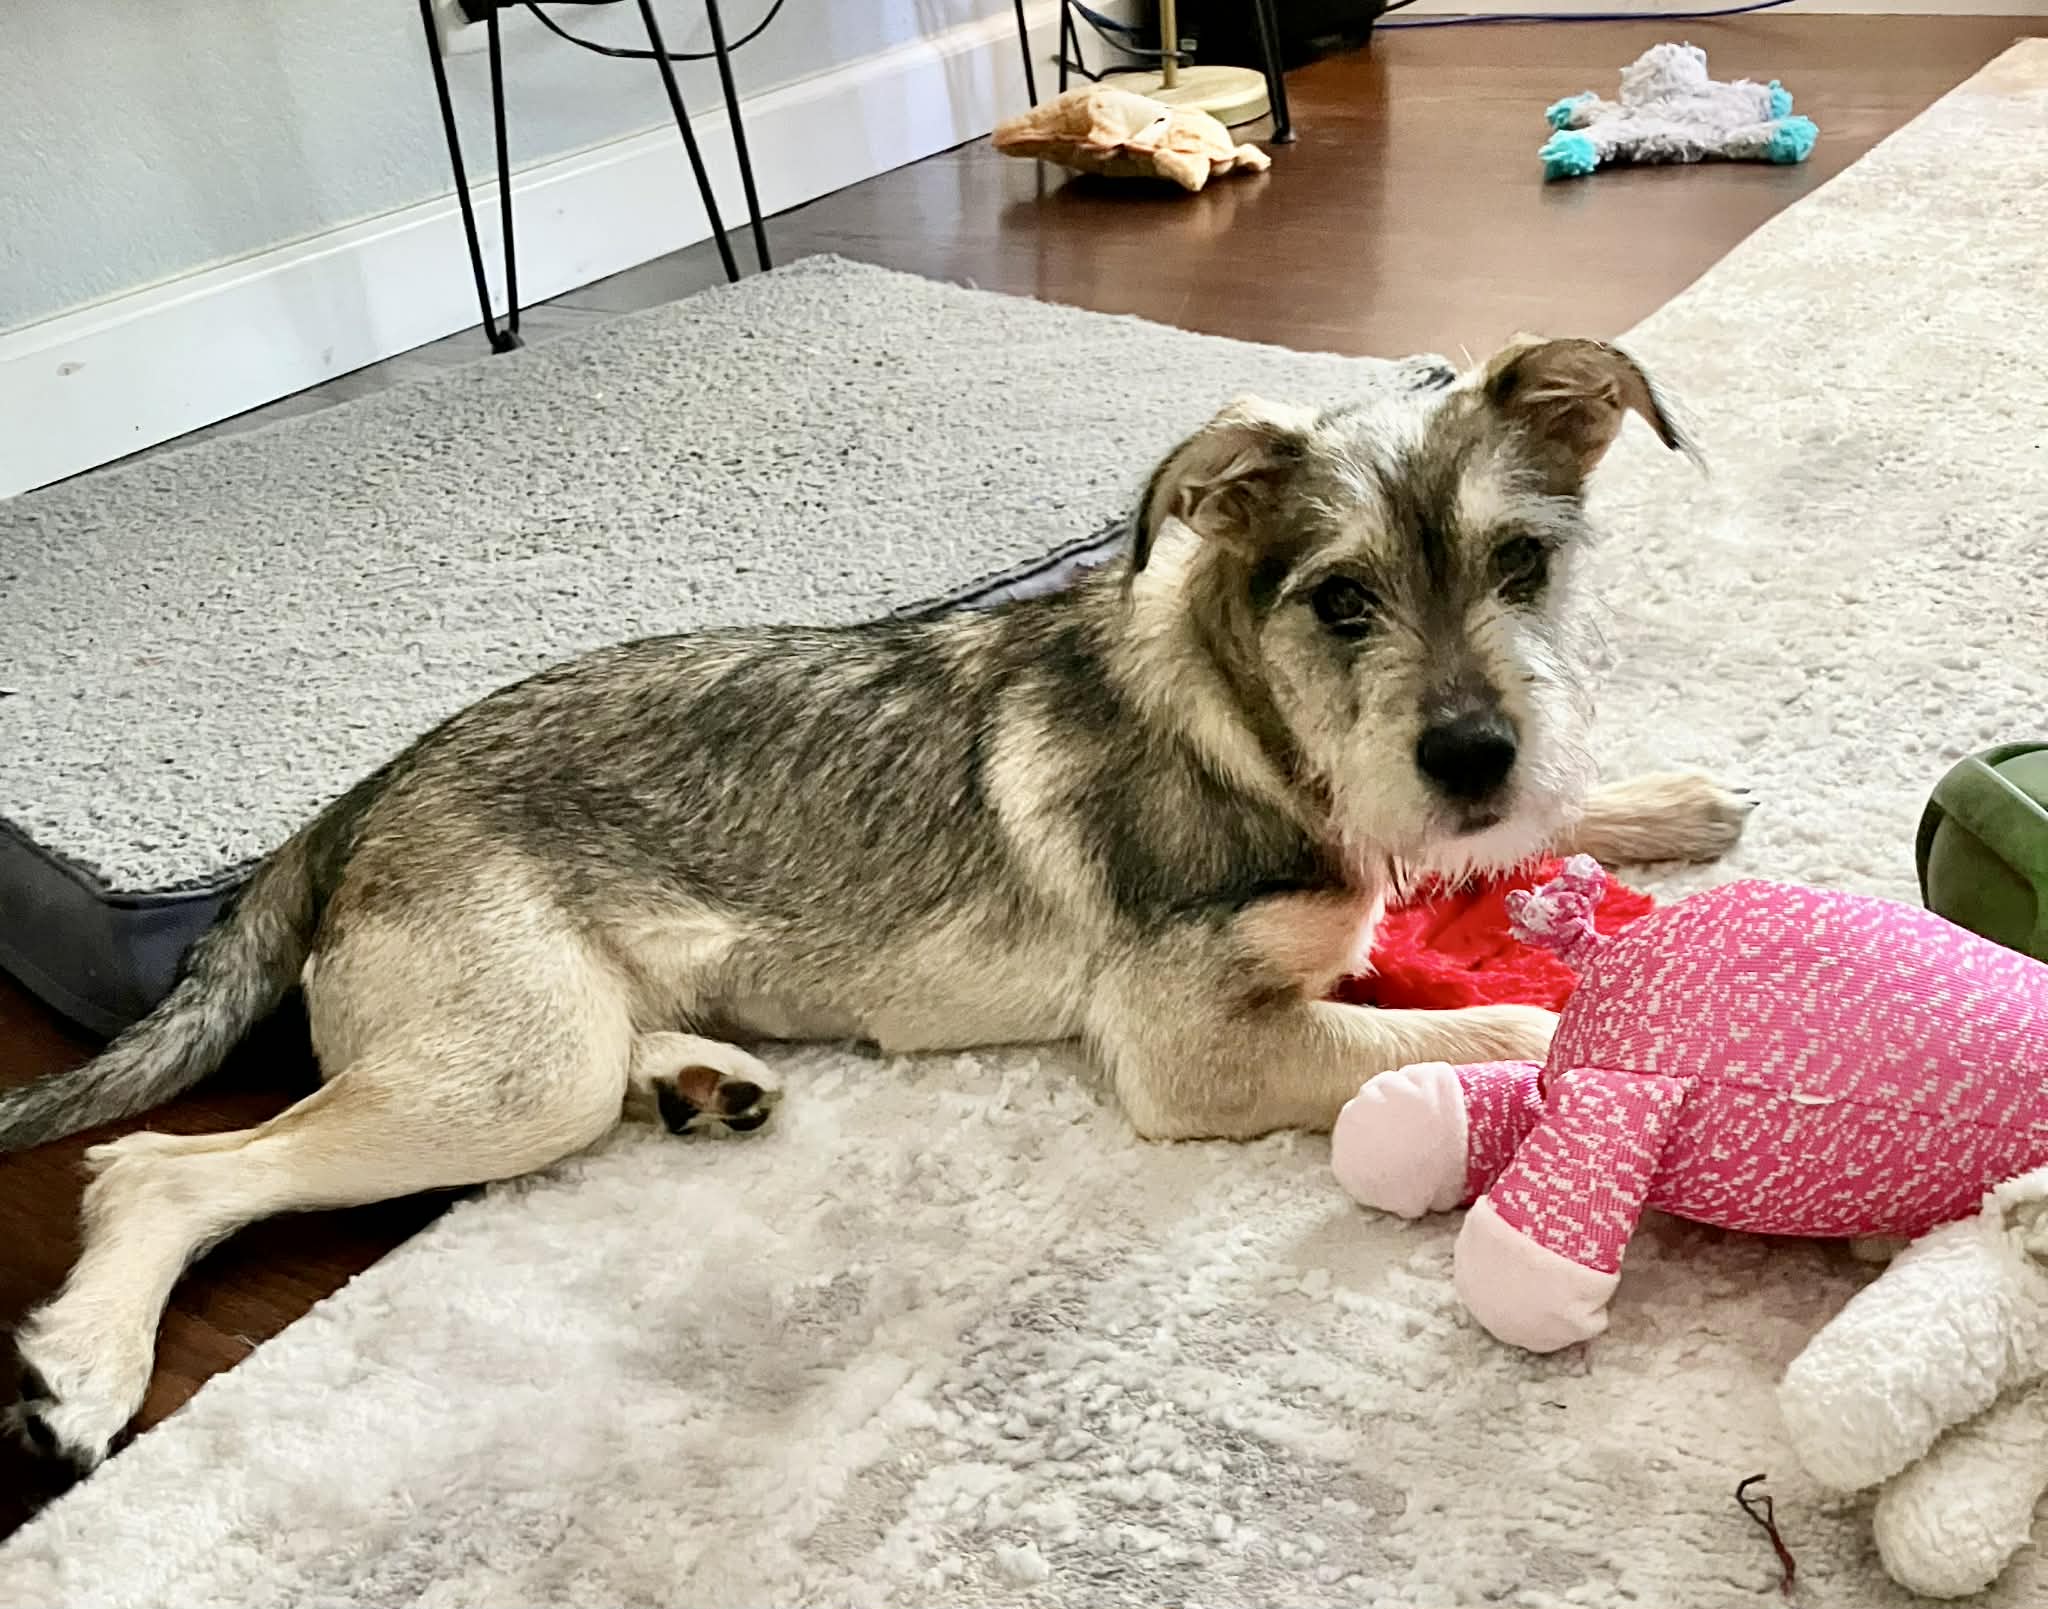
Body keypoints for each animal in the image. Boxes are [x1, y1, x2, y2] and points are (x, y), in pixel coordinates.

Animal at [2, 336, 1748, 1471]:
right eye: (1339, 603)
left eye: (1523, 567)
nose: (1473, 753)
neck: (1256, 730)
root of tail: (366, 787)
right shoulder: (1194, 1050)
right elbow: (1501, 1026)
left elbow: (1499, 855)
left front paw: (1655, 800)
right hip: (504, 1073)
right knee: (158, 1169)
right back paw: (82, 1369)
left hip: (530, 1040)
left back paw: (701, 1079)